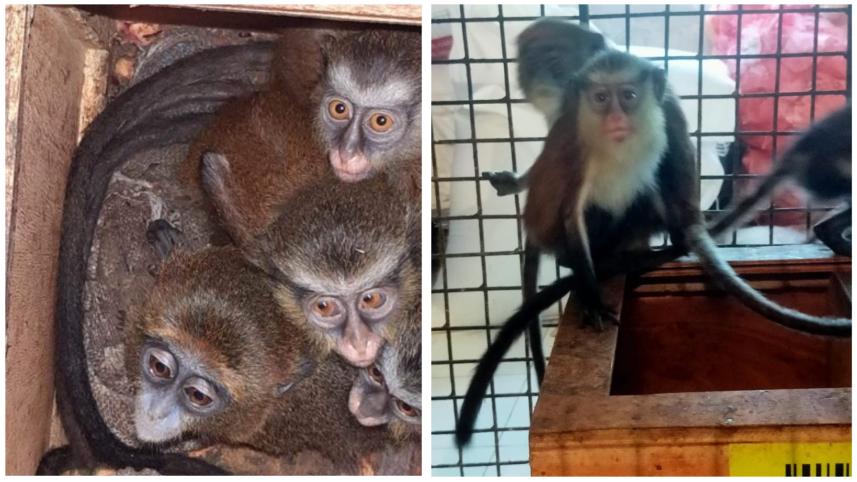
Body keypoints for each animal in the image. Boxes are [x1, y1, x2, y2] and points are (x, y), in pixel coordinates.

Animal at [455, 50, 851, 447]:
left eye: (629, 97)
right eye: (601, 99)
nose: (615, 118)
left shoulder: (663, 125)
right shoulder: (578, 150)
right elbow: (574, 214)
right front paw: (594, 300)